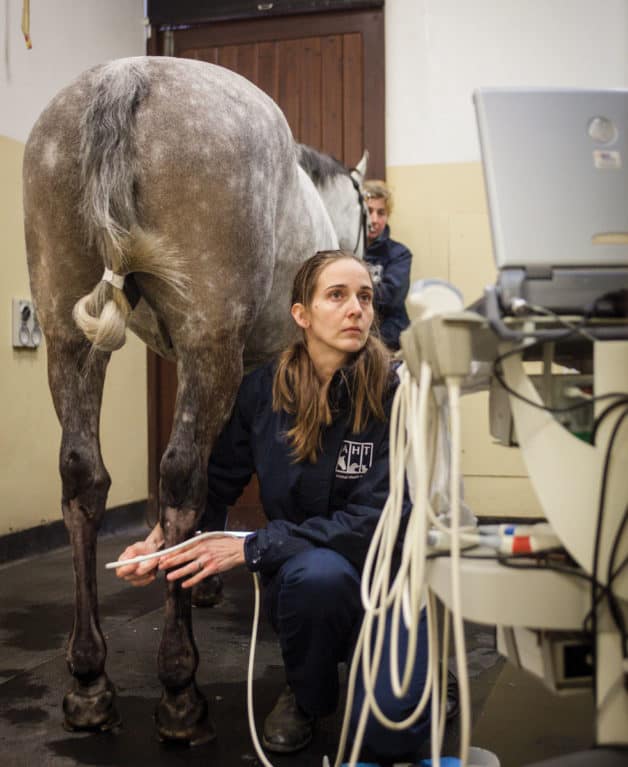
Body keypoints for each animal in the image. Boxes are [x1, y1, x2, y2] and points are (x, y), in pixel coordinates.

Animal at [22, 55, 368, 744]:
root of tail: (124, 78)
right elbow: (219, 468)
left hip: (70, 338)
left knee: (82, 478)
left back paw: (89, 681)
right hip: (210, 340)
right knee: (179, 478)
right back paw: (179, 690)